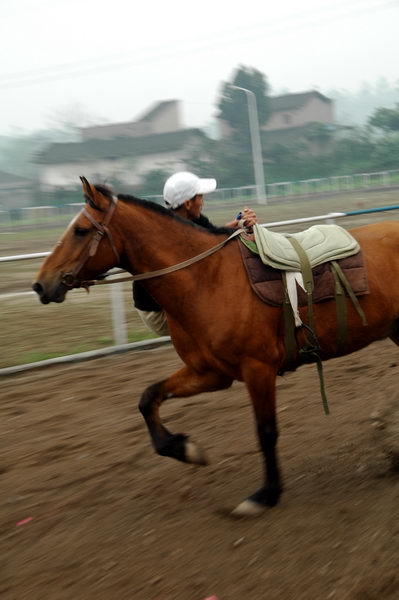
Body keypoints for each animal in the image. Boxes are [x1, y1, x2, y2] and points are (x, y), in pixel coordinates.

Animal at [33, 177, 399, 516]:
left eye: (80, 230)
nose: (40, 284)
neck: (208, 278)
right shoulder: (209, 372)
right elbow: (148, 399)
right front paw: (184, 448)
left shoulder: (257, 369)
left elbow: (266, 431)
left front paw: (266, 494)